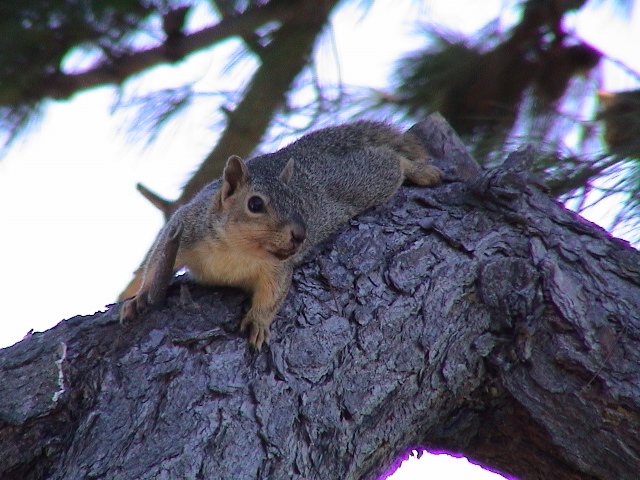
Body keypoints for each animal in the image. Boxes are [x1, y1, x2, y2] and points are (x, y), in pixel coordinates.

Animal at [117, 120, 442, 348]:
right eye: (255, 204)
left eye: (300, 203)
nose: (300, 234)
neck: (236, 250)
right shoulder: (185, 227)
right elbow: (158, 259)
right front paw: (139, 298)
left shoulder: (276, 268)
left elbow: (273, 294)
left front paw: (259, 323)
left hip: (362, 183)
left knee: (391, 161)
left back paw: (421, 171)